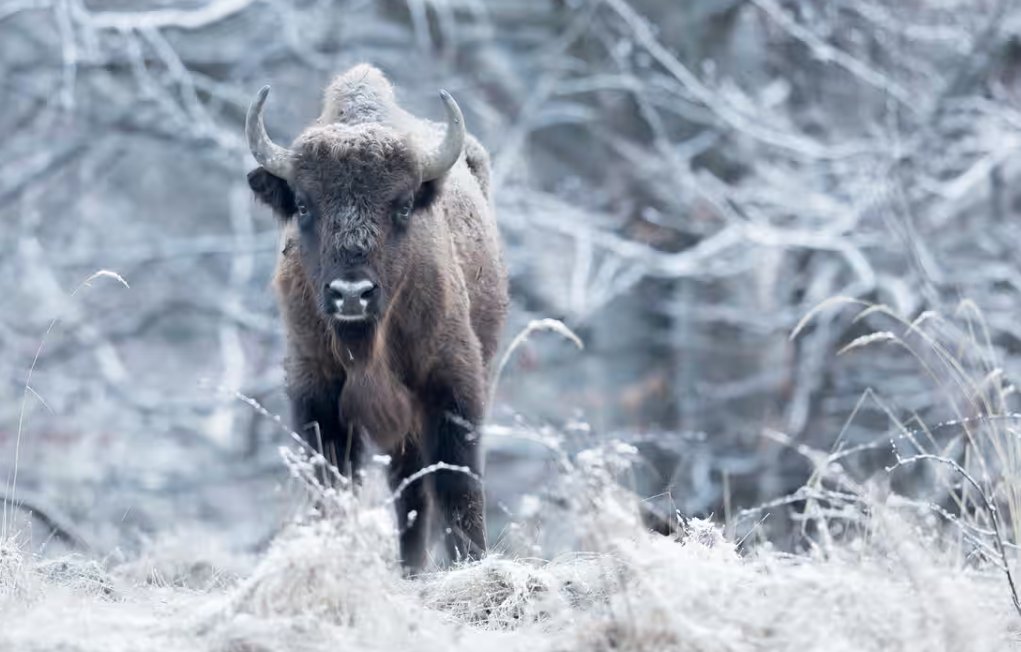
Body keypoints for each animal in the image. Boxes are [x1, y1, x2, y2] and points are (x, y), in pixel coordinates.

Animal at [245, 65, 508, 570]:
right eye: (303, 205)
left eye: (402, 206)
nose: (352, 294)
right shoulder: (318, 395)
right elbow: (334, 486)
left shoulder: (452, 386)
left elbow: (457, 486)